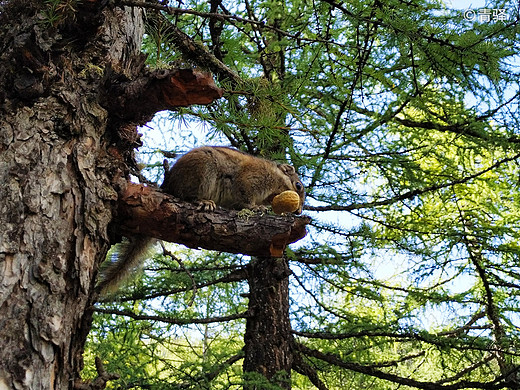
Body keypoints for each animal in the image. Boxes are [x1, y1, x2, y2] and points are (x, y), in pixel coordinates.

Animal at [98, 146, 304, 292]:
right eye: (299, 186)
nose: (299, 212)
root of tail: (168, 185)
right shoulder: (251, 179)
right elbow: (245, 195)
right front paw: (256, 207)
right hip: (203, 171)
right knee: (187, 195)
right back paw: (203, 202)